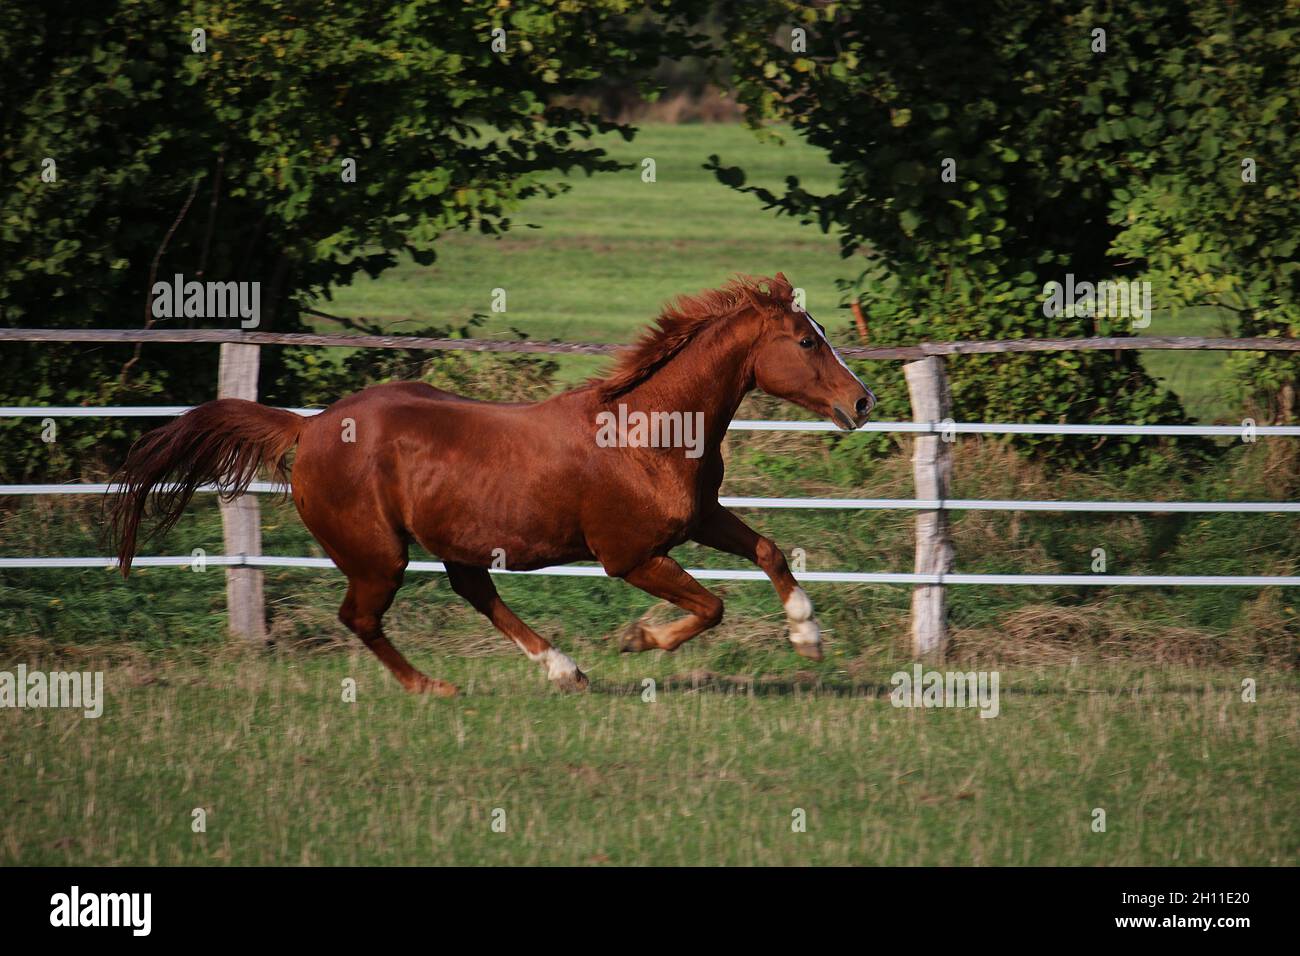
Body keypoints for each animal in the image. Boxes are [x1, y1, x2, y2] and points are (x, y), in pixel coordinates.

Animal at [108, 273, 876, 695]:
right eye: (807, 341)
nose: (863, 401)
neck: (647, 432)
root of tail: (311, 426)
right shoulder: (630, 555)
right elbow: (712, 606)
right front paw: (636, 639)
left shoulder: (700, 517)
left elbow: (769, 550)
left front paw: (808, 638)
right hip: (379, 555)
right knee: (362, 617)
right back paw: (435, 687)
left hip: (451, 542)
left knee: (475, 593)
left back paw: (562, 670)